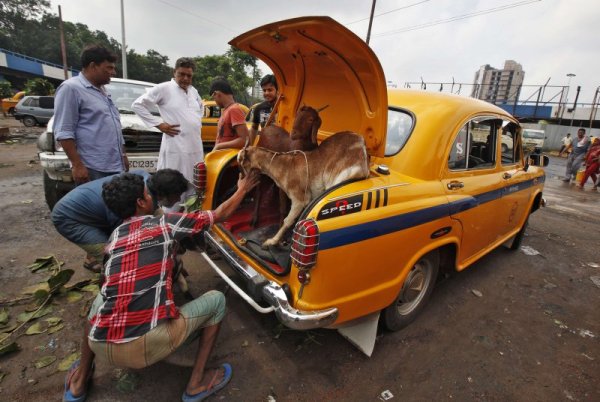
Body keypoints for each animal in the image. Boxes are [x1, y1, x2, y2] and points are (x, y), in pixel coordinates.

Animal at [239, 130, 370, 247]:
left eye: (242, 162)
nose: (241, 182)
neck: (284, 166)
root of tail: (360, 143)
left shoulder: (300, 199)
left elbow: (287, 220)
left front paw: (272, 241)